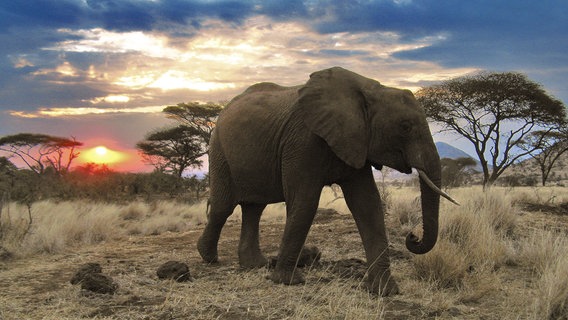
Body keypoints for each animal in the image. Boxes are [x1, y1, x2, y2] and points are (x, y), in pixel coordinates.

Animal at [196, 66, 458, 296]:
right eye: (405, 127)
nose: (412, 236)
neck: (370, 90)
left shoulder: (355, 139)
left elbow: (368, 204)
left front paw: (385, 291)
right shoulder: (303, 140)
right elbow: (305, 201)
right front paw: (288, 281)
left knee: (254, 208)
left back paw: (255, 265)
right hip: (219, 150)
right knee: (223, 207)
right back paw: (208, 257)